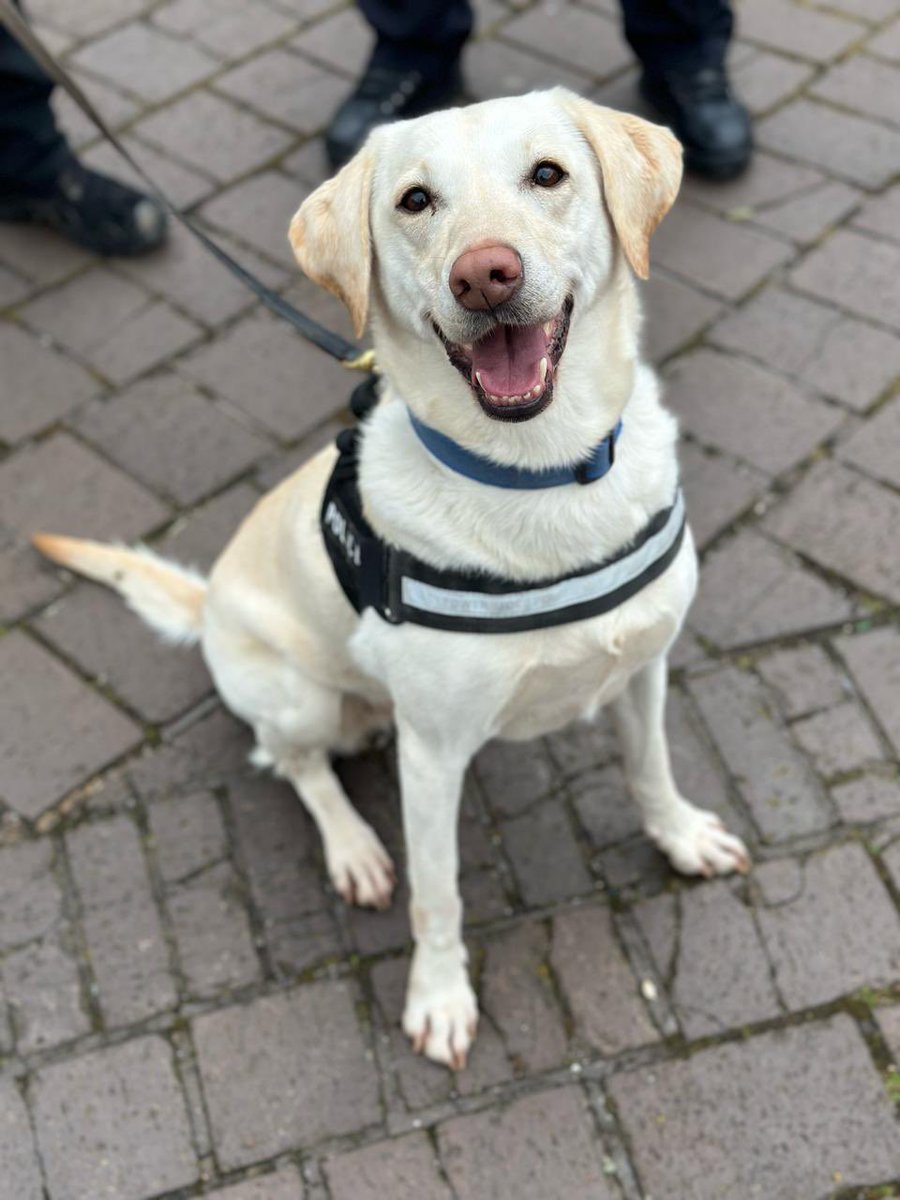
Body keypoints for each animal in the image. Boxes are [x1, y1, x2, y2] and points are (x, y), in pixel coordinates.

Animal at [35, 91, 748, 1070]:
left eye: (548, 174)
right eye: (415, 201)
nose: (485, 276)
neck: (540, 476)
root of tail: (208, 602)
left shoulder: (645, 668)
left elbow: (652, 770)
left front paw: (680, 840)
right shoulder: (435, 755)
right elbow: (437, 892)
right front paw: (440, 999)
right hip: (293, 696)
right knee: (294, 764)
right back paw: (355, 851)